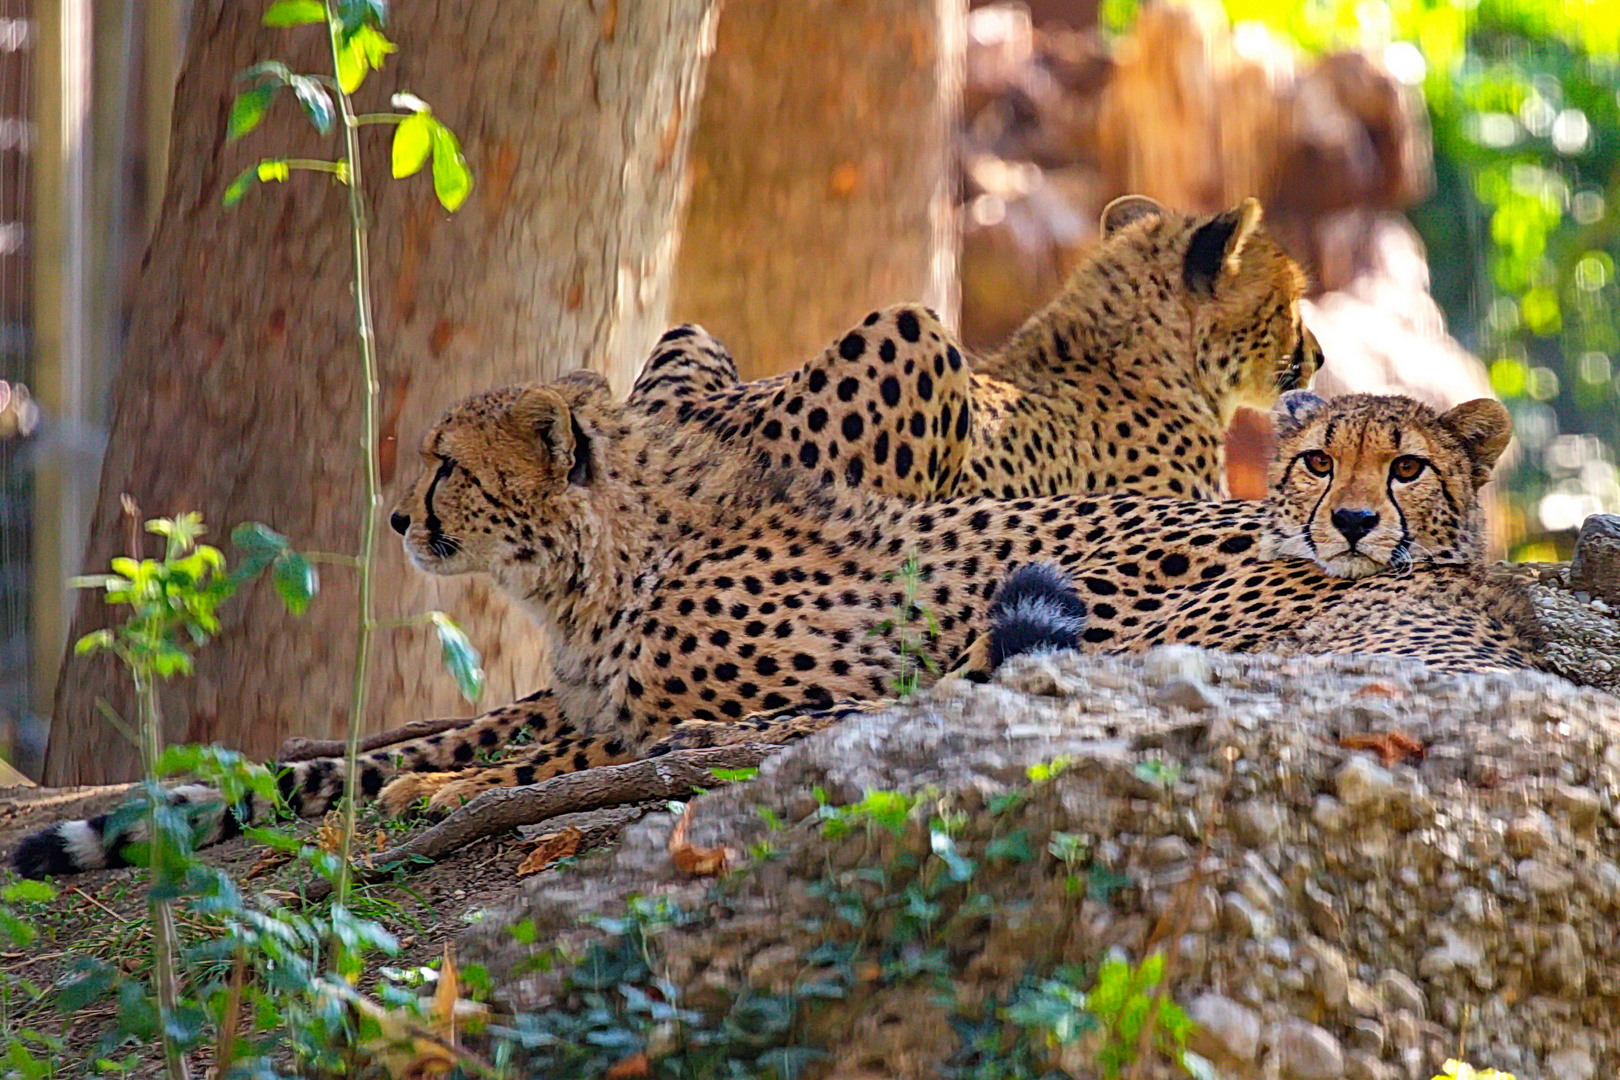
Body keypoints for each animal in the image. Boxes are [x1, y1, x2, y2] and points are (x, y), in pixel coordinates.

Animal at [9, 380, 1529, 880]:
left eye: (445, 464)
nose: (395, 518)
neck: (601, 558)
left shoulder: (808, 687)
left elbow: (558, 753)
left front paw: (432, 791)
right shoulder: (577, 688)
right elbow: (492, 727)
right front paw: (363, 769)